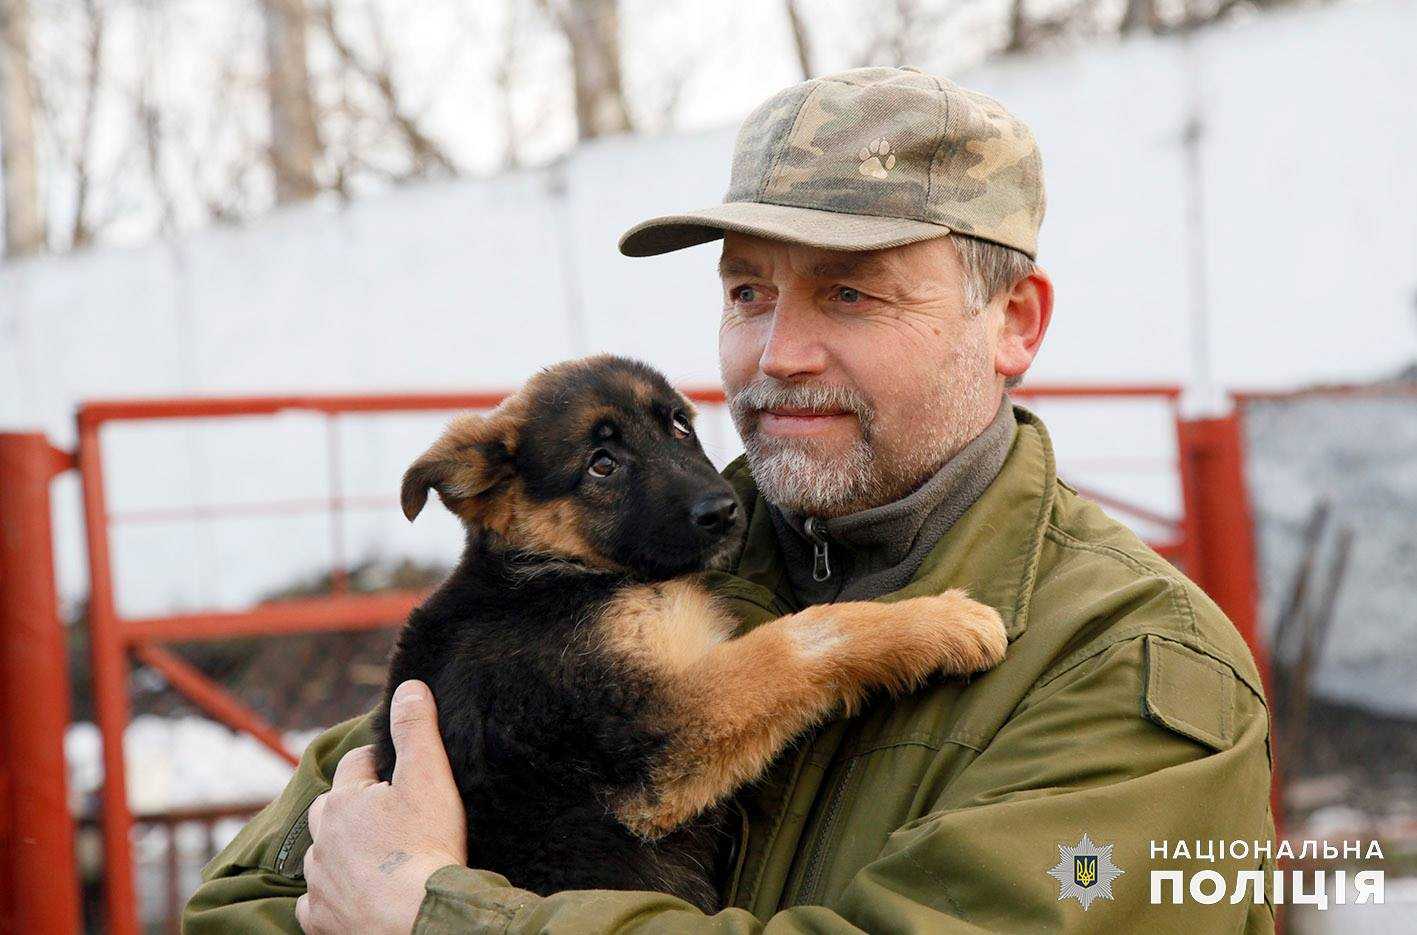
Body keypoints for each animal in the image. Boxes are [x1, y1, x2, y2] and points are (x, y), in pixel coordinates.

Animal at [371, 355, 1003, 912]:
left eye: (678, 424)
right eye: (601, 464)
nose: (724, 510)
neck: (560, 572)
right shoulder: (654, 738)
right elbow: (799, 640)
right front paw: (945, 622)